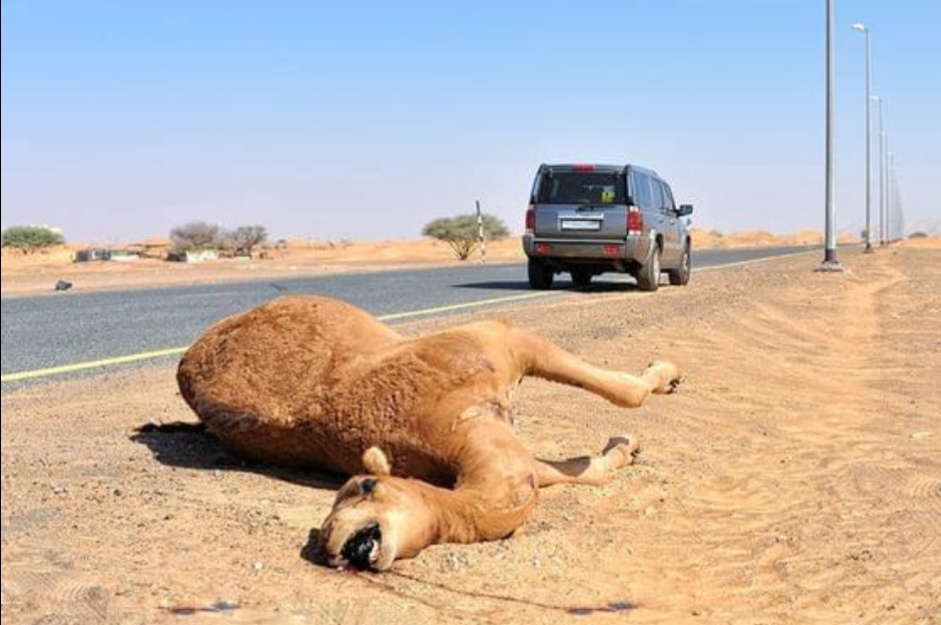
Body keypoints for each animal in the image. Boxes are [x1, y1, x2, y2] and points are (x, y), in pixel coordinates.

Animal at [176, 292, 680, 572]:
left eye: (365, 485)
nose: (338, 542)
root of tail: (186, 360)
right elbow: (589, 455)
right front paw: (632, 437)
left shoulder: (501, 343)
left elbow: (621, 404)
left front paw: (658, 391)